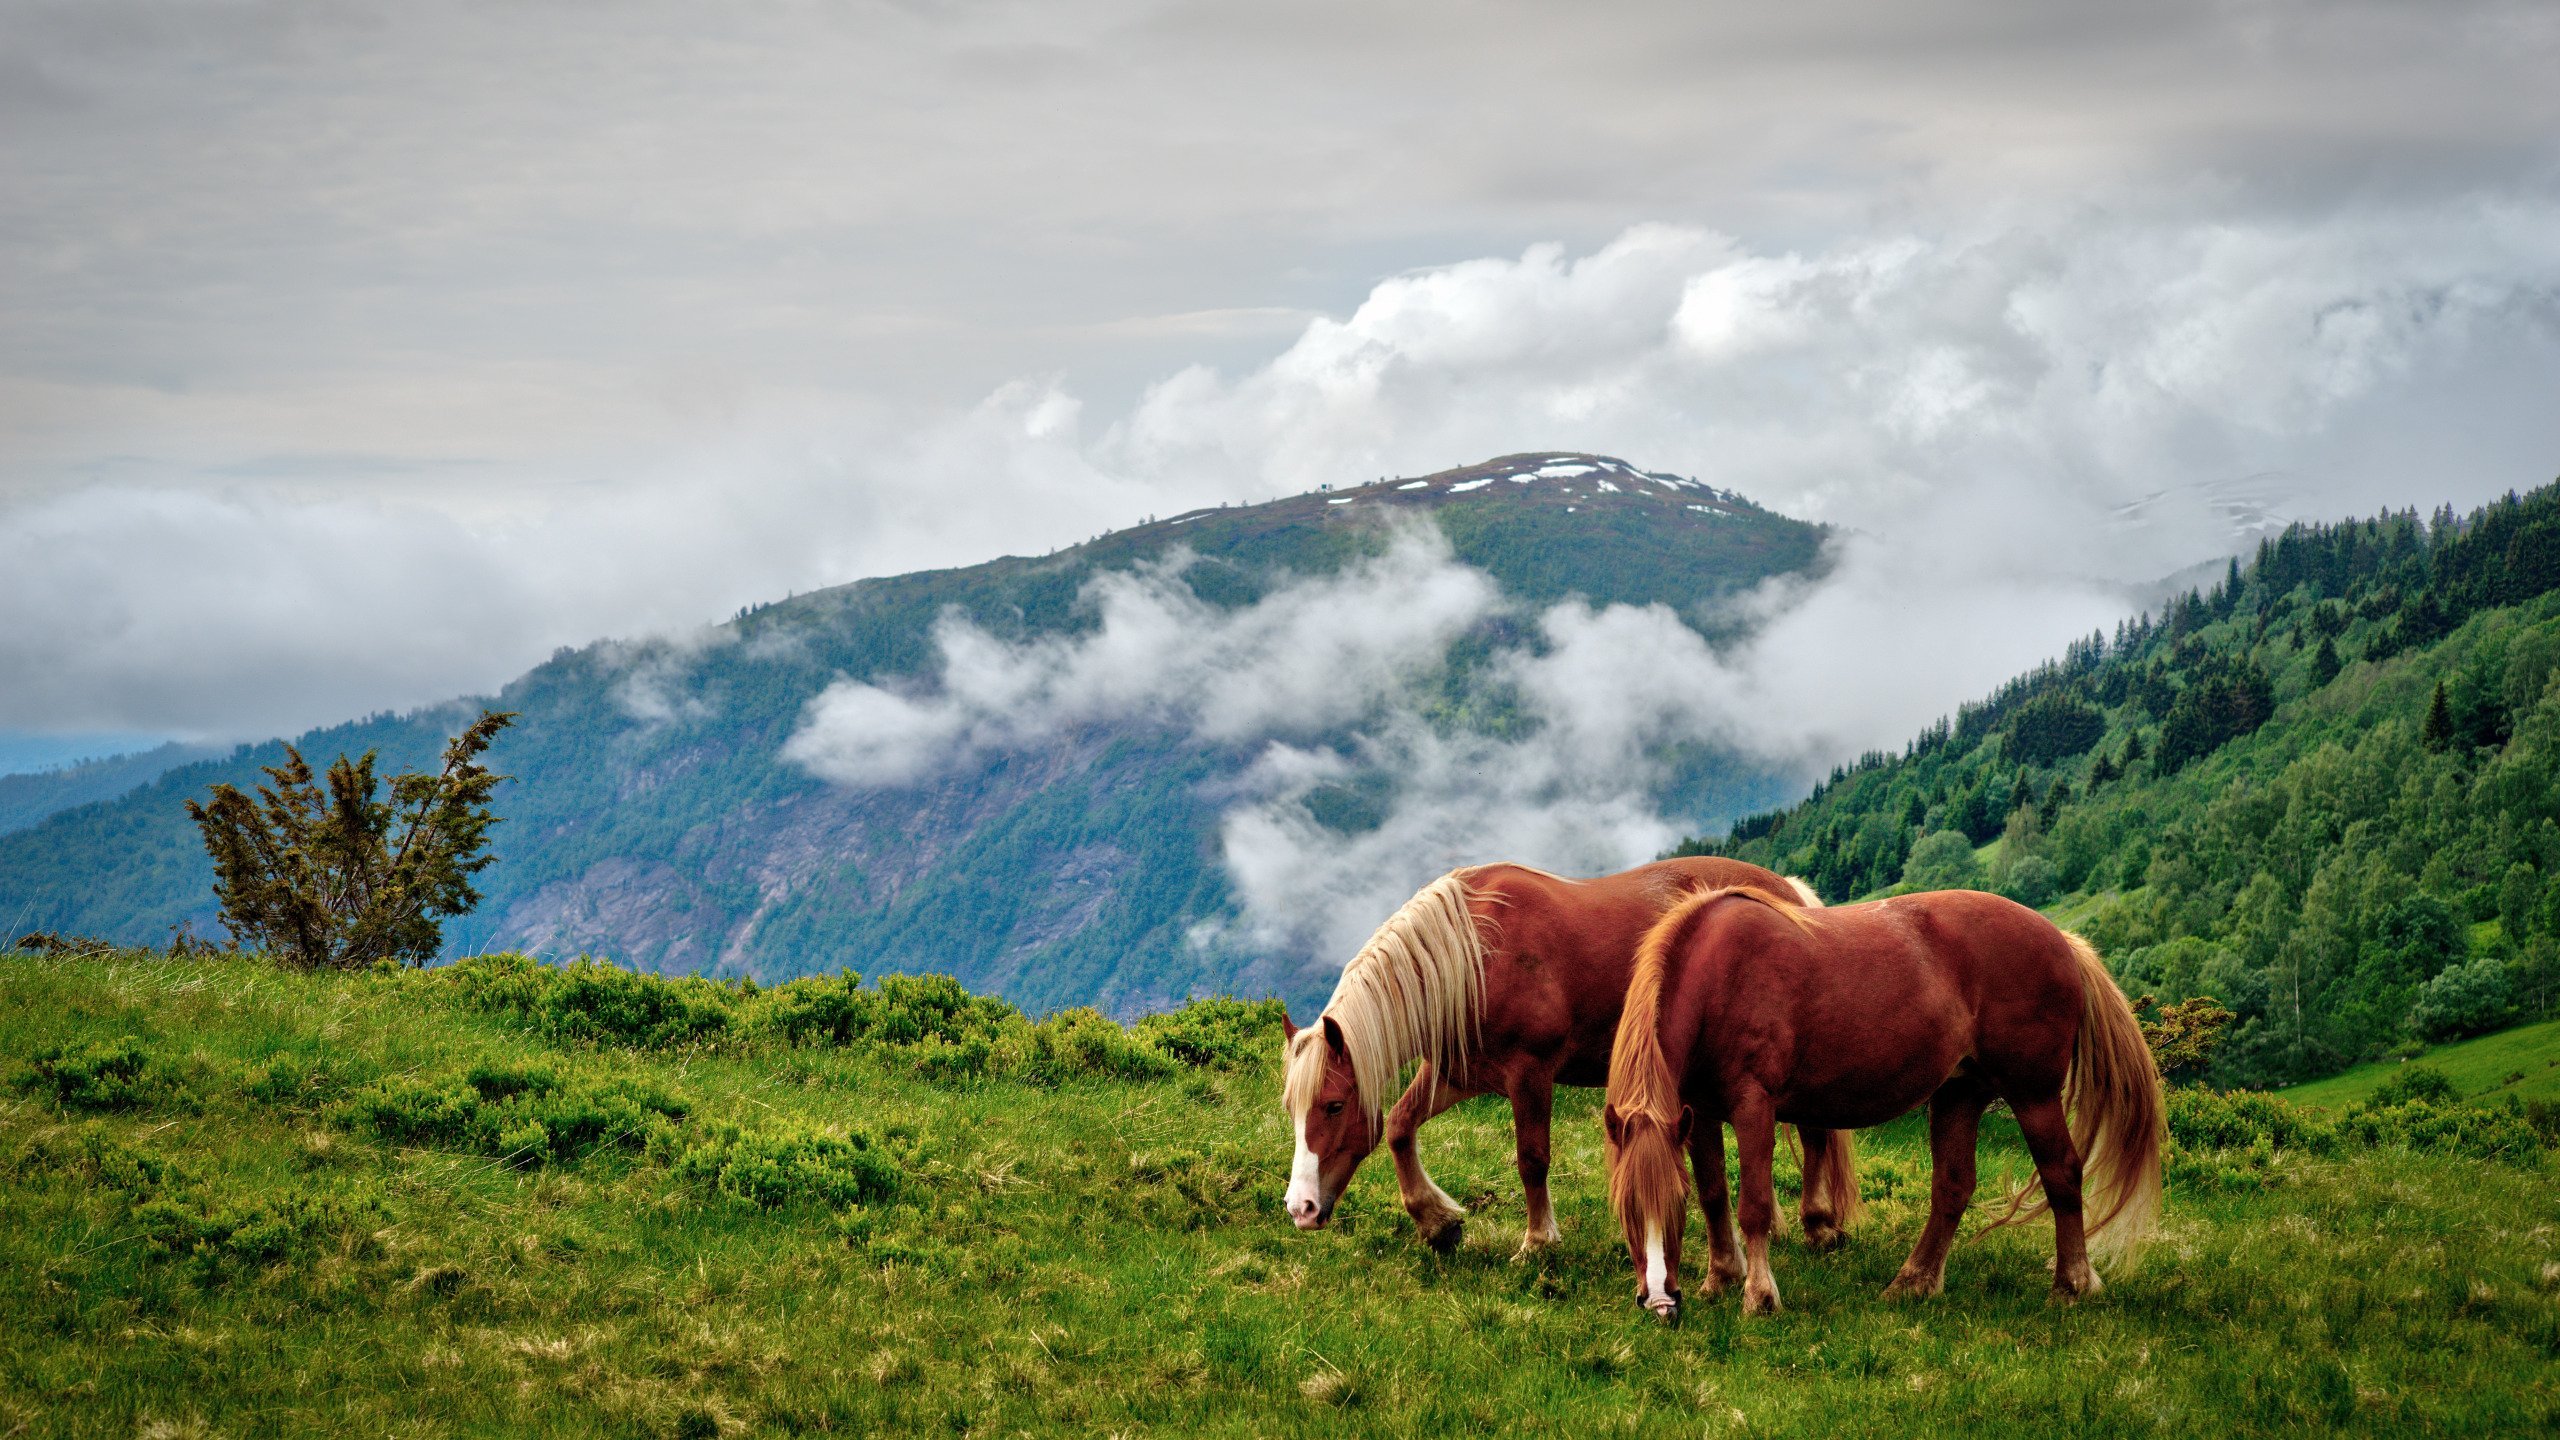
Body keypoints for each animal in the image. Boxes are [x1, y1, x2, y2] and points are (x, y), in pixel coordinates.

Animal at [1280, 855, 1863, 1250]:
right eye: (1293, 1111)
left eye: (1333, 1105)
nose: (1300, 1208)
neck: (1472, 954)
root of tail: (1788, 891)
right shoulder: (1460, 1074)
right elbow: (1400, 1126)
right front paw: (1438, 1222)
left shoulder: (1531, 1074)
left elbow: (1532, 1159)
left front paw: (1538, 1241)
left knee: (1814, 1134)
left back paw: (1817, 1224)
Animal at [1607, 881, 2150, 1322]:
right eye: (1626, 1209)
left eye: (1670, 1208)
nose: (1660, 1302)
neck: (1718, 974)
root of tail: (2063, 940)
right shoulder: (1698, 1115)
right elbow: (1714, 1195)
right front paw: (1719, 1278)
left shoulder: (1753, 1108)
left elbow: (1753, 1206)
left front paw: (1759, 1297)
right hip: (1959, 1093)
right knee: (1953, 1186)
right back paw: (1914, 1281)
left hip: (2032, 1095)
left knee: (2062, 1173)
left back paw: (2072, 1284)